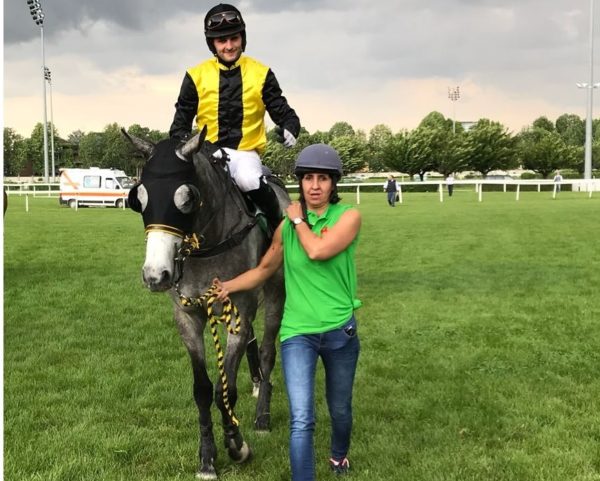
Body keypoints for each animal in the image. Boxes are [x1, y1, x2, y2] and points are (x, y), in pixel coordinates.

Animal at [123, 128, 288, 480]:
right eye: (138, 198)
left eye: (187, 198)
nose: (155, 275)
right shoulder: (188, 315)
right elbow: (202, 389)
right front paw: (207, 457)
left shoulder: (239, 310)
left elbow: (225, 390)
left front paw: (237, 445)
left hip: (275, 294)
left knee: (268, 351)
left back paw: (262, 415)